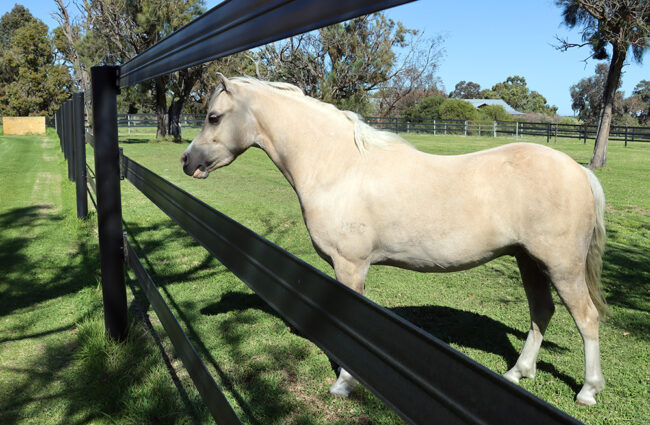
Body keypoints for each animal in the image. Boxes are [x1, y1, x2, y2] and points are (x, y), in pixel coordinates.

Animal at [180, 74, 608, 406]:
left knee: (587, 319)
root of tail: (578, 171)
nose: (187, 161)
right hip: (529, 261)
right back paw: (518, 373)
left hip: (561, 266)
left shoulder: (350, 266)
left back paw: (587, 390)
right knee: (542, 313)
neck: (338, 166)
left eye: (213, 116)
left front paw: (344, 384)